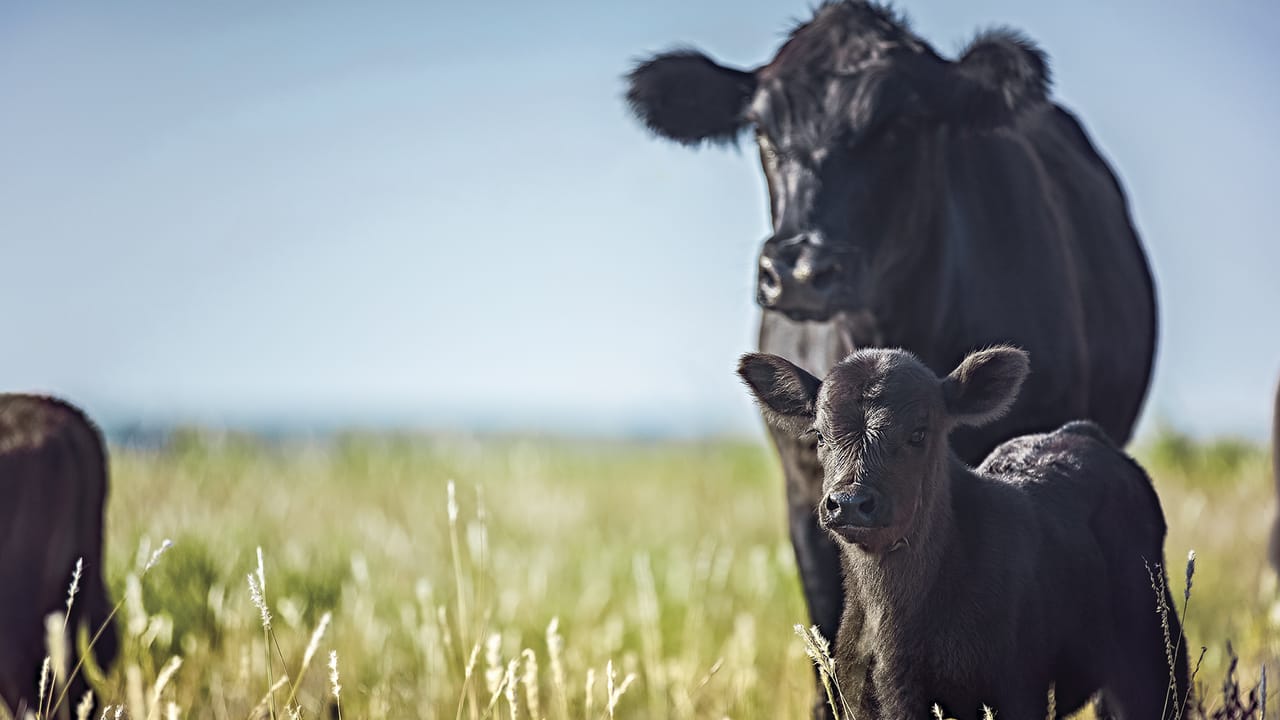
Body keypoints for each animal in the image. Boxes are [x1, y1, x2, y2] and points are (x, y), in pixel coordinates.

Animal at [738, 346, 1189, 719]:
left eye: (919, 433)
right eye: (819, 435)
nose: (849, 501)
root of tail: (1079, 433)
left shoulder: (1017, 692)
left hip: (1155, 655)